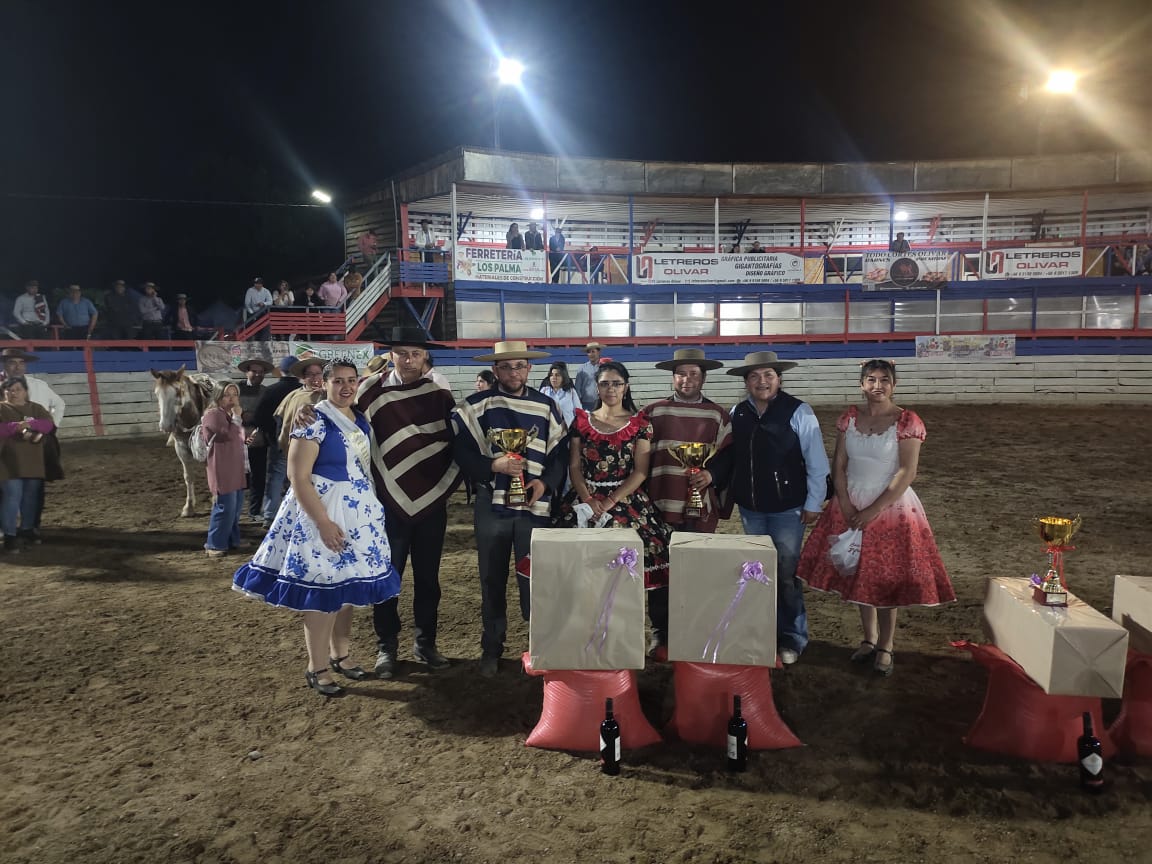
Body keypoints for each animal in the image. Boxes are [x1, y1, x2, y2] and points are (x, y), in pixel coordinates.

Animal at [150, 366, 217, 513]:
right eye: (157, 393)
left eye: (178, 392)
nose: (165, 425)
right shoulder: (180, 448)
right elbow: (188, 476)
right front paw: (189, 506)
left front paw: (215, 499)